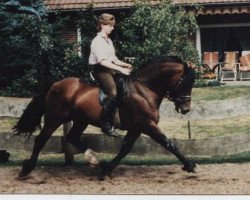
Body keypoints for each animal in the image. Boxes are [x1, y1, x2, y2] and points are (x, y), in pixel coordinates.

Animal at [13, 55, 197, 178]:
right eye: (184, 83)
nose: (186, 109)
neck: (144, 90)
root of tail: (54, 85)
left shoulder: (137, 127)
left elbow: (125, 148)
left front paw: (108, 169)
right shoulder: (148, 124)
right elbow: (169, 144)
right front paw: (190, 165)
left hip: (81, 120)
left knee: (72, 137)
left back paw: (95, 161)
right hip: (55, 118)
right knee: (40, 140)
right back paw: (26, 169)